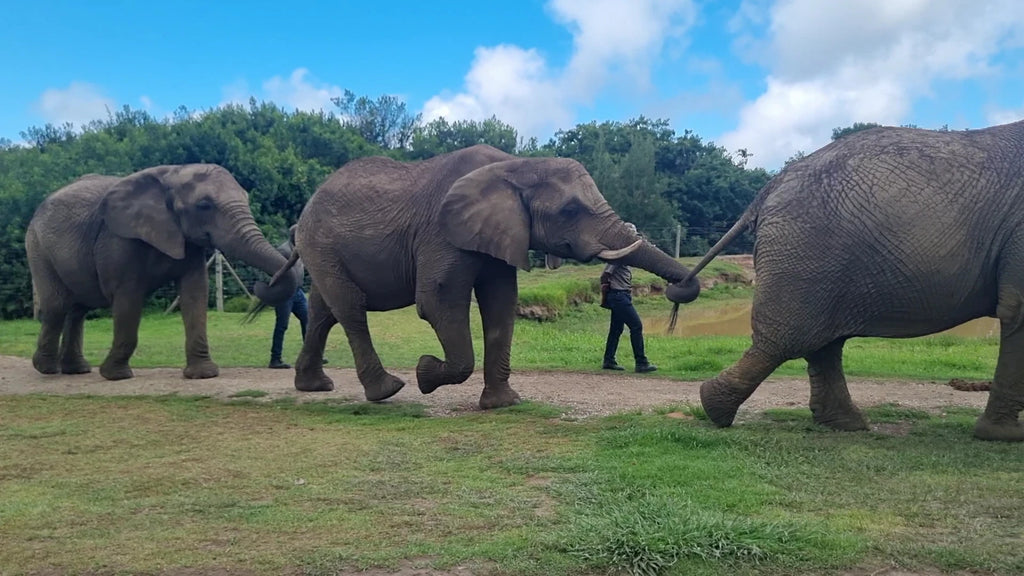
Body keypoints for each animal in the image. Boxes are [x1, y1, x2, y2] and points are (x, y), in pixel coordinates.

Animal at [25, 164, 301, 381]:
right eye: (204, 205)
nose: (262, 285)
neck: (172, 175)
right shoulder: (118, 240)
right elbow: (128, 297)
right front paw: (117, 376)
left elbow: (195, 294)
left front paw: (203, 374)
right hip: (38, 246)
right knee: (58, 305)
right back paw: (47, 369)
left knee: (78, 309)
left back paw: (76, 369)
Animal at [267, 144, 700, 409]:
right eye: (570, 210)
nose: (681, 287)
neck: (517, 163)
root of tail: (302, 215)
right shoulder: (441, 231)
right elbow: (438, 300)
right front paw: (425, 373)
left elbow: (502, 304)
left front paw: (504, 404)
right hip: (323, 243)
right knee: (350, 308)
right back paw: (387, 390)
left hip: (323, 250)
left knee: (324, 312)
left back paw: (315, 387)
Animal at [682, 119, 1024, 442]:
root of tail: (770, 186)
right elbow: (1017, 310)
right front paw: (1005, 436)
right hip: (809, 249)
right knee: (789, 340)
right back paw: (715, 408)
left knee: (821, 342)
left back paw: (844, 424)